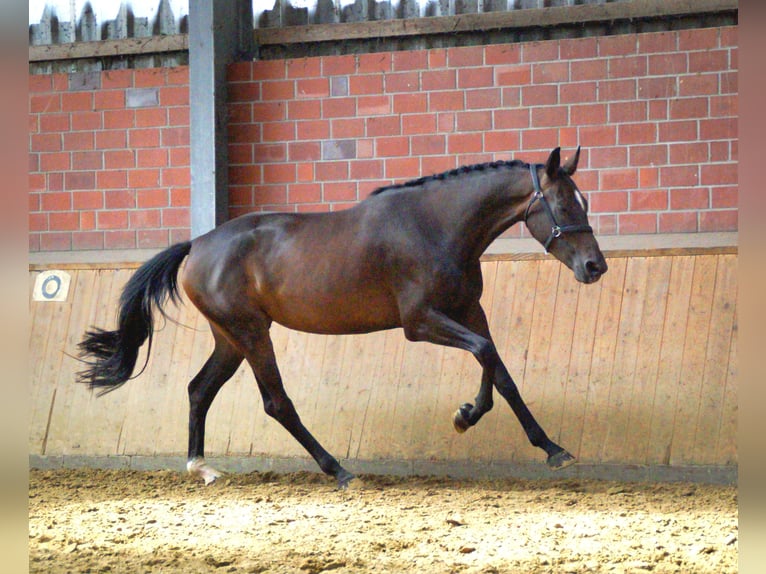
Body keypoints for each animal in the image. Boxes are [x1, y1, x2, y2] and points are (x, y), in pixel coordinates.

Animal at [77, 146, 607, 488]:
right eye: (563, 203)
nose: (594, 267)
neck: (436, 226)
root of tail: (196, 246)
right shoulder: (420, 322)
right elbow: (485, 355)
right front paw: (472, 419)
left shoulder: (468, 311)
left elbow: (499, 370)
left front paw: (545, 446)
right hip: (251, 333)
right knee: (276, 402)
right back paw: (339, 470)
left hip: (229, 337)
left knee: (198, 389)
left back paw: (201, 467)